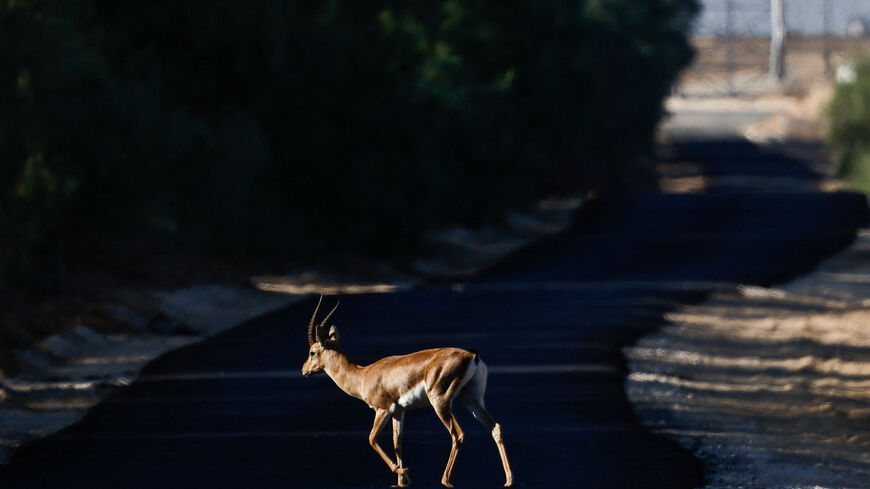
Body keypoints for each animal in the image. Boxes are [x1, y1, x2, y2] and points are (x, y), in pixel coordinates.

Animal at [301, 296, 513, 487]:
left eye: (312, 351)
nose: (304, 370)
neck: (362, 375)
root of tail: (472, 355)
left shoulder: (383, 409)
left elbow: (372, 438)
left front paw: (402, 471)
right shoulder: (399, 412)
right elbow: (397, 443)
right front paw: (402, 481)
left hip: (440, 402)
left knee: (458, 434)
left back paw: (446, 481)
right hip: (471, 399)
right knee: (495, 427)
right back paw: (508, 481)